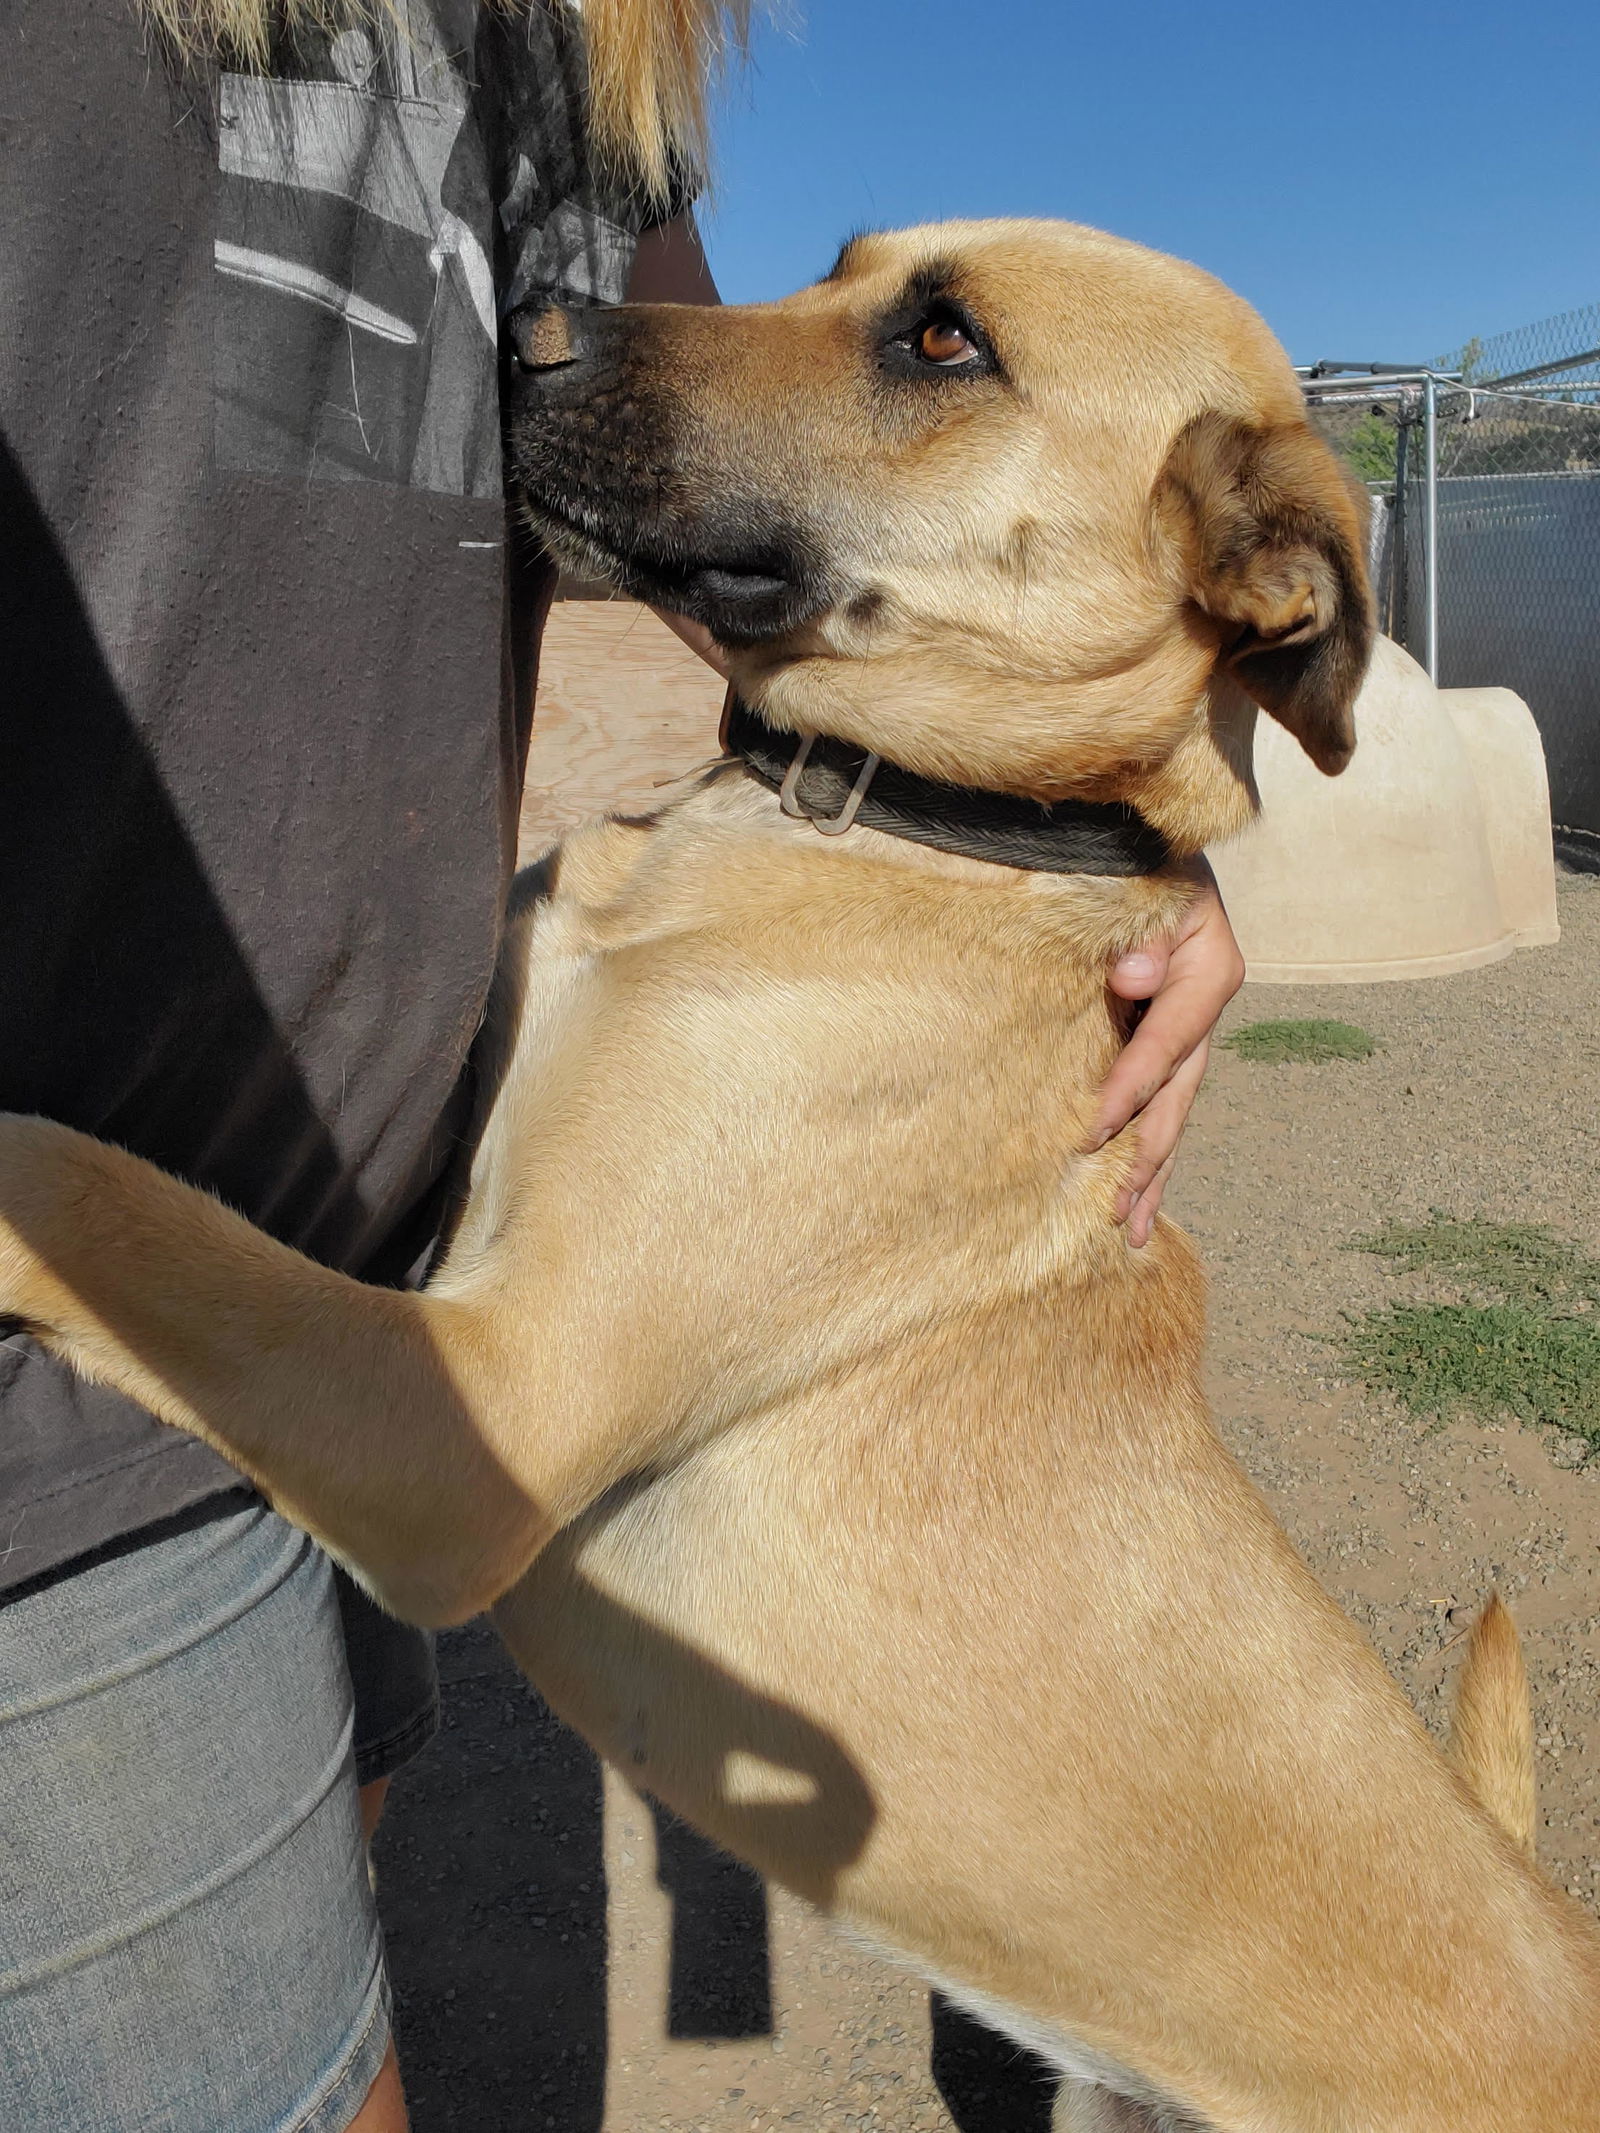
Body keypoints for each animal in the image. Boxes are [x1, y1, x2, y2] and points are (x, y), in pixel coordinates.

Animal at [3, 225, 1600, 2124]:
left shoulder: (479, 1410)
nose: (525, 323)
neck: (880, 819)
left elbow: (102, 1198)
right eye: (841, 266)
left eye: (944, 339)